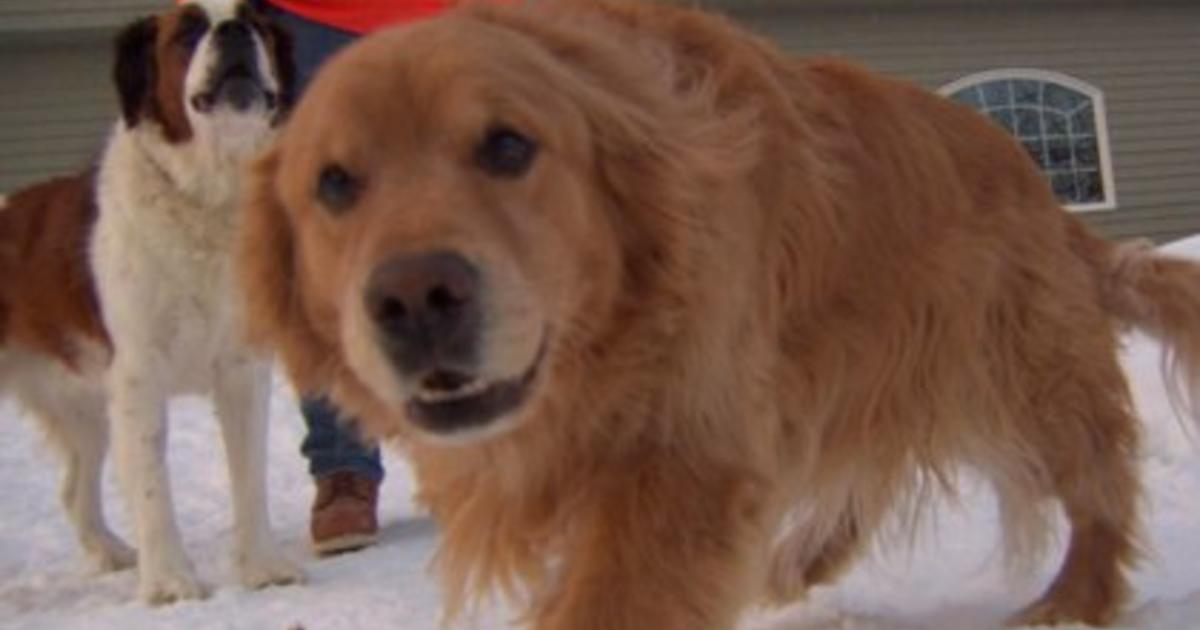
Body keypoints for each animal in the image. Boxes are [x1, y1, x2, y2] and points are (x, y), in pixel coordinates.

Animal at [0, 0, 300, 602]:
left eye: (255, 20)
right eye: (188, 30)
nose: (233, 29)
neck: (208, 196)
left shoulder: (242, 368)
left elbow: (249, 475)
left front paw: (262, 567)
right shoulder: (139, 374)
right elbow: (152, 487)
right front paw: (170, 583)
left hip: (83, 408)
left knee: (73, 490)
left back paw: (114, 554)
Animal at [238, 0, 1200, 624]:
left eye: (508, 145)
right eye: (334, 184)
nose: (414, 297)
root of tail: (1036, 184)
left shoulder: (688, 454)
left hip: (1017, 367)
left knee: (1098, 478)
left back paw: (1073, 599)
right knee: (863, 477)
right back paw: (797, 567)